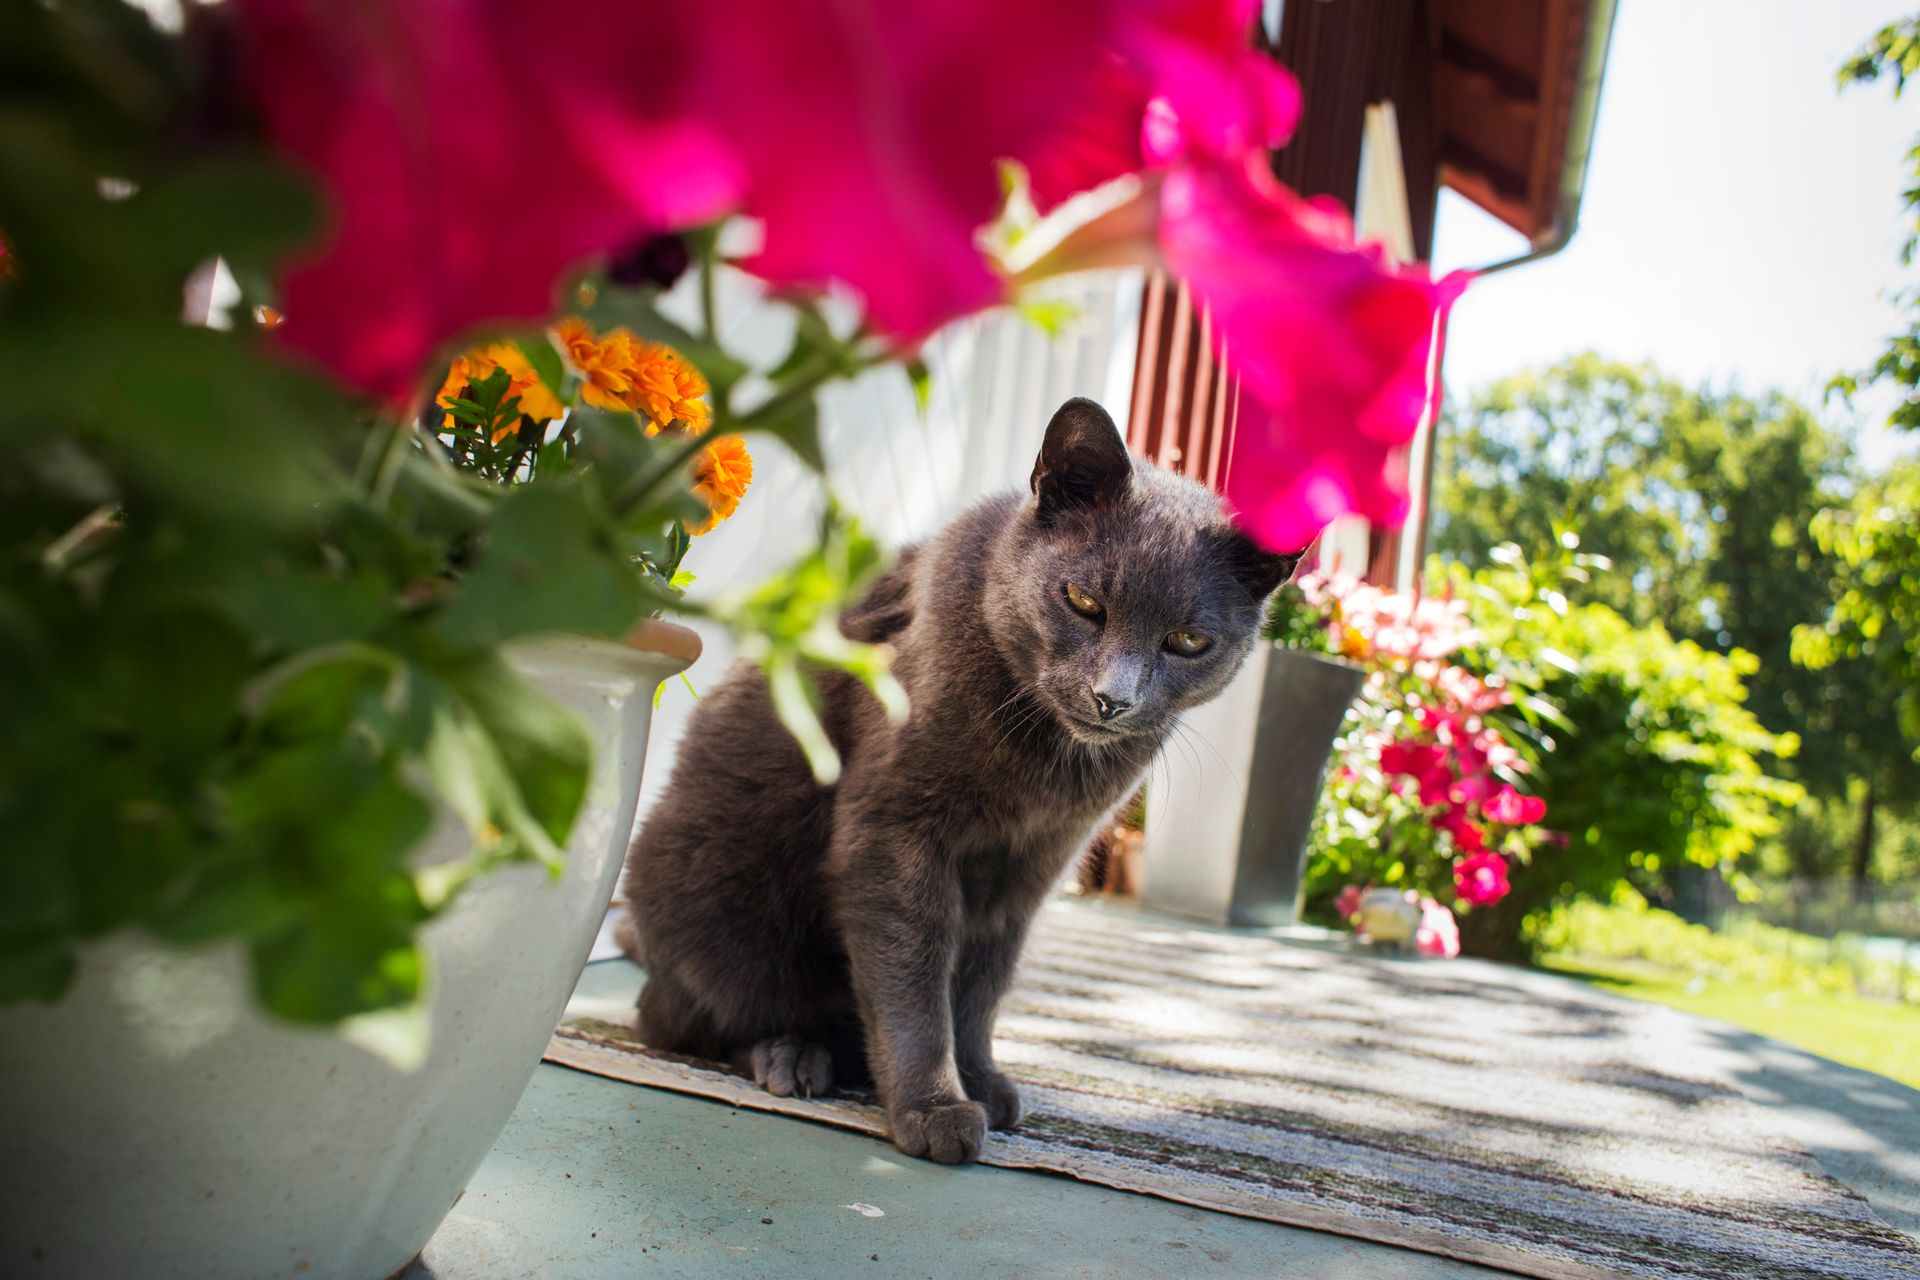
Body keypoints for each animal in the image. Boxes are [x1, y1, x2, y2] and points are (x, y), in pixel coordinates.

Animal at [622, 397, 1297, 1159]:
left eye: (1187, 642)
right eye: (1082, 601)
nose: (1113, 698)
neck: (1039, 766)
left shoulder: (1030, 863)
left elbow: (980, 981)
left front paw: (978, 1080)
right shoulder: (894, 831)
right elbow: (914, 972)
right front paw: (933, 1107)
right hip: (709, 888)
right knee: (689, 1017)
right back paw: (792, 1055)